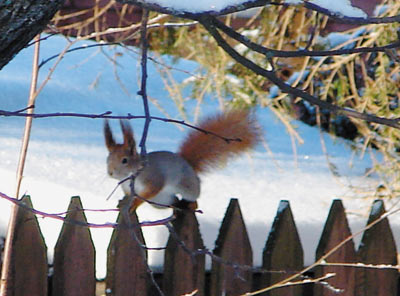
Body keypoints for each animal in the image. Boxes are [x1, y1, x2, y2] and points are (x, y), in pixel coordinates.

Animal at [104, 109, 260, 210]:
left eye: (124, 160)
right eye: (108, 158)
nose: (110, 173)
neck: (131, 175)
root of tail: (189, 165)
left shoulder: (153, 179)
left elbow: (149, 191)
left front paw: (134, 204)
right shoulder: (127, 189)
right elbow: (128, 196)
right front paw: (124, 201)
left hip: (188, 187)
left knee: (193, 197)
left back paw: (192, 204)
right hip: (160, 200)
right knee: (172, 202)